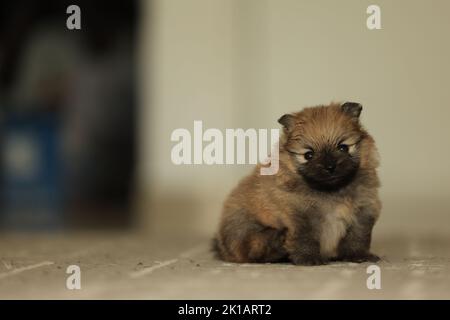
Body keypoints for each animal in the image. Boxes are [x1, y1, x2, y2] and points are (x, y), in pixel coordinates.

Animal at [214, 102, 380, 264]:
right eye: (308, 155)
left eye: (343, 147)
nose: (330, 167)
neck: (332, 190)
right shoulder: (299, 214)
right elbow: (304, 237)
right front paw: (309, 258)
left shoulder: (362, 211)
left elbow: (358, 237)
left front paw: (359, 255)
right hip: (243, 226)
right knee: (252, 247)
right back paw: (275, 242)